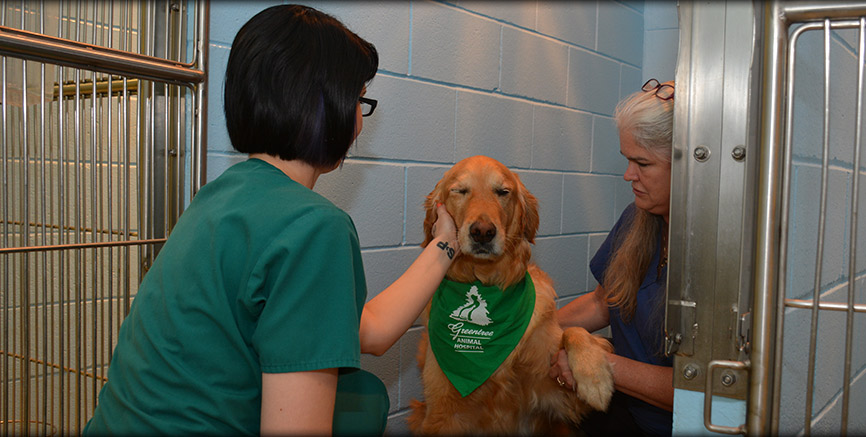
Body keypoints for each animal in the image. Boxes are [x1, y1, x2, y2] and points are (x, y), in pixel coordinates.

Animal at [408, 155, 612, 434]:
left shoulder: (558, 396)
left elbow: (572, 331)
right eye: (459, 191)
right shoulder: (443, 412)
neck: (486, 279)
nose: (483, 232)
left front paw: (595, 378)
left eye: (503, 192)